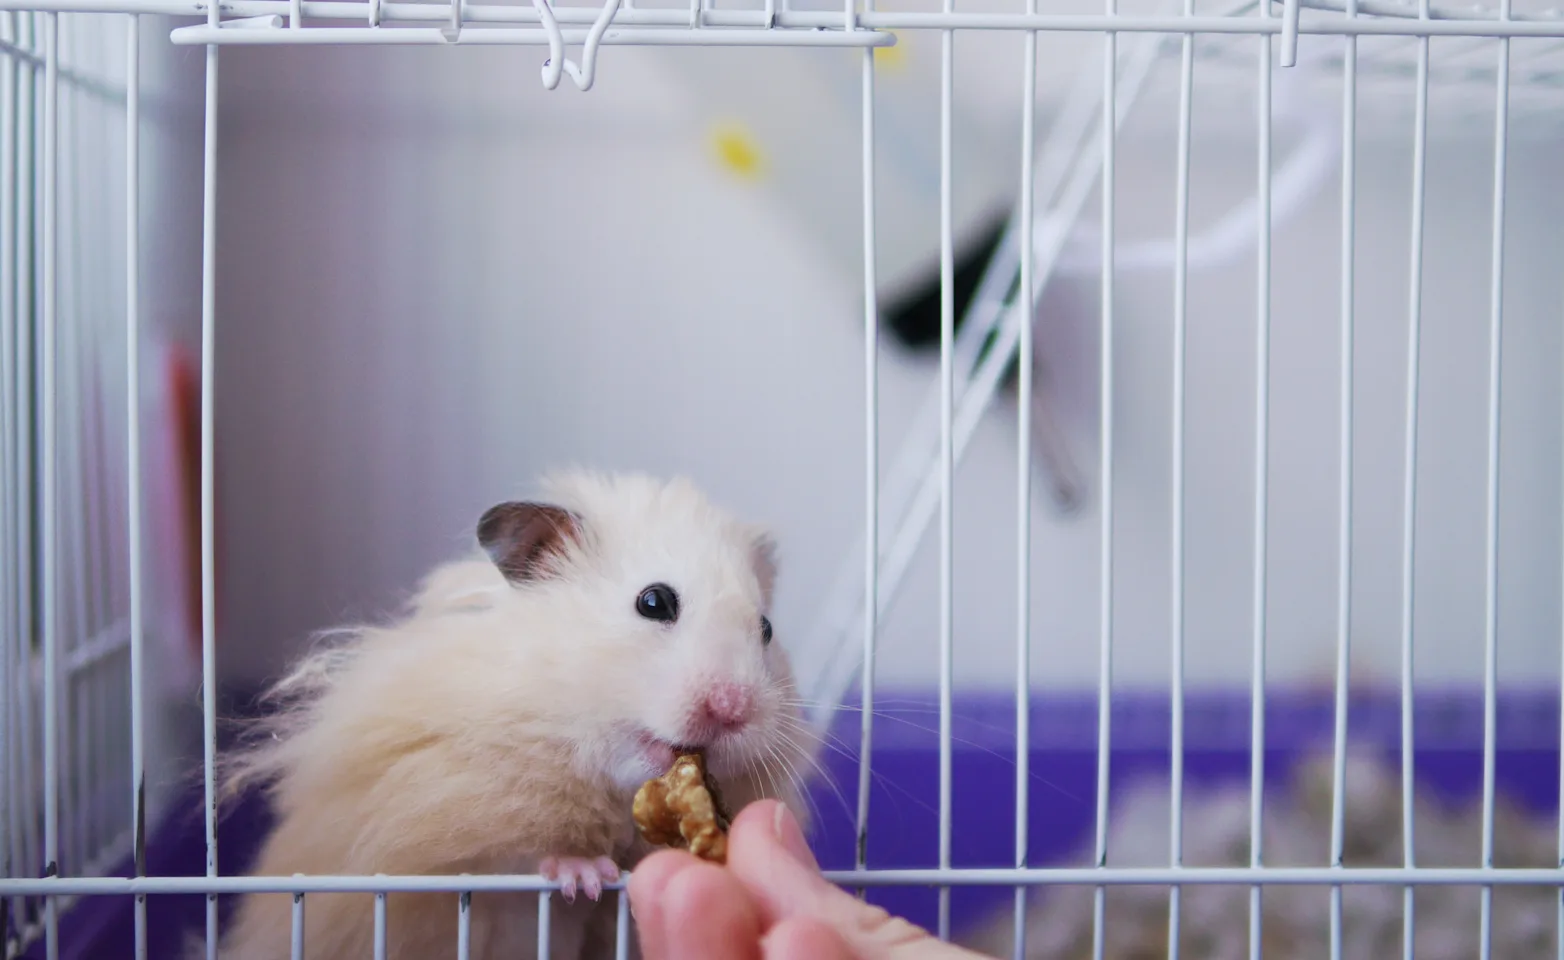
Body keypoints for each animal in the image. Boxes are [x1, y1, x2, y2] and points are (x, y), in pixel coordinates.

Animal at [211, 470, 819, 960]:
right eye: (654, 602)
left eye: (766, 629)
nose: (733, 709)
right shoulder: (442, 820)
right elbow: (513, 856)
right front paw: (587, 876)